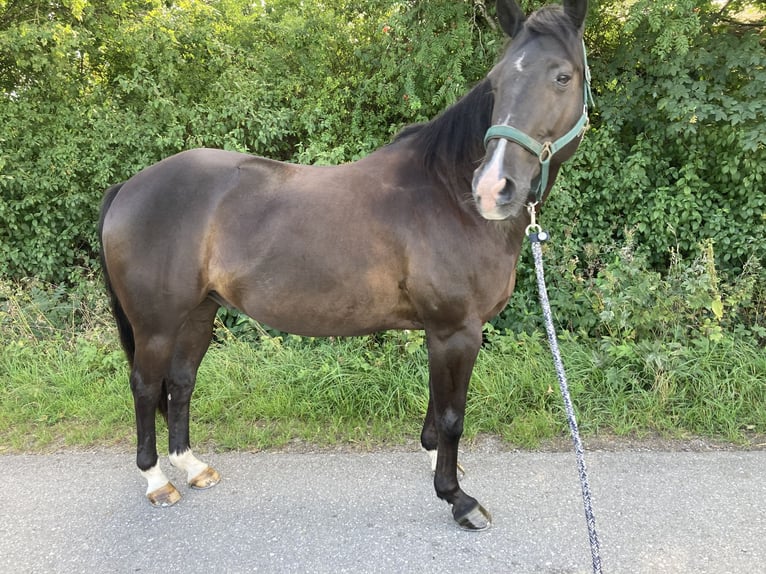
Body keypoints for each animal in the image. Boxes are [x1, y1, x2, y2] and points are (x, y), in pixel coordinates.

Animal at [99, 0, 591, 531]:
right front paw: (457, 498)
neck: (446, 193)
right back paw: (157, 480)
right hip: (156, 326)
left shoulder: (442, 332)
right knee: (146, 387)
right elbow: (452, 414)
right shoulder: (456, 330)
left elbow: (436, 406)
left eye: (562, 76)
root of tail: (128, 188)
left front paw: (434, 461)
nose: (493, 188)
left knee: (181, 381)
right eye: (497, 84)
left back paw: (191, 466)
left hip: (198, 314)